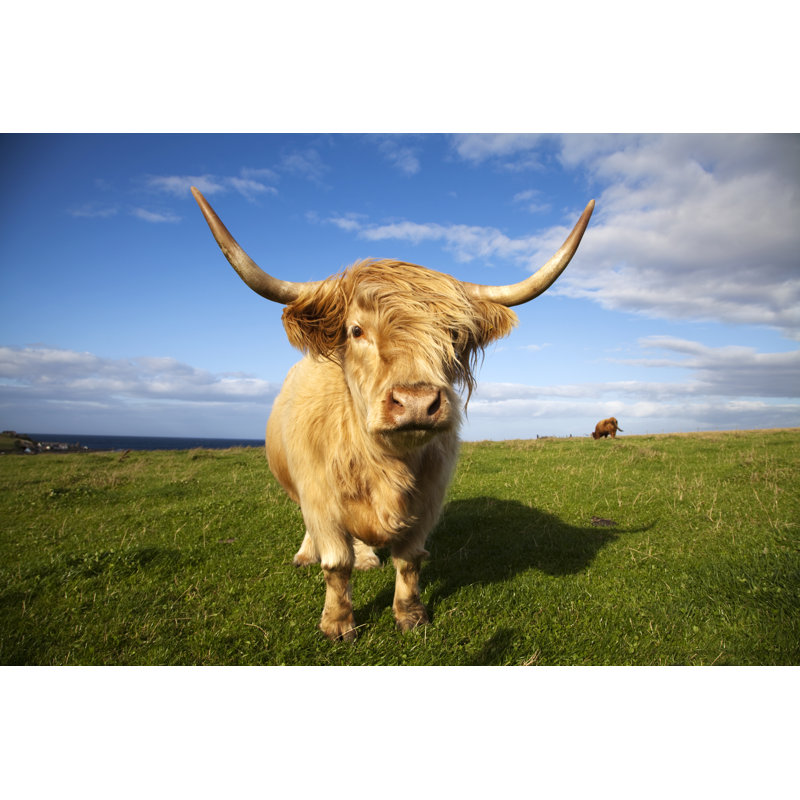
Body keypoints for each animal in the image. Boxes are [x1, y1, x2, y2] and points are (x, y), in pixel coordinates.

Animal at [192, 187, 594, 641]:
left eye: (453, 335)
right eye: (356, 330)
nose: (417, 402)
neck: (383, 463)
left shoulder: (429, 499)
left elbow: (409, 560)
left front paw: (410, 615)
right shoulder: (319, 498)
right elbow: (336, 563)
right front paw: (338, 624)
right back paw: (310, 554)